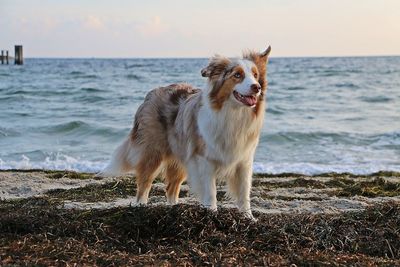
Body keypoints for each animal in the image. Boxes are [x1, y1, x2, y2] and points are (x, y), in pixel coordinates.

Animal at [101, 46, 274, 219]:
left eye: (255, 75)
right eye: (237, 75)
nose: (256, 87)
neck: (234, 115)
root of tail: (150, 94)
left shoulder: (244, 161)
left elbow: (244, 193)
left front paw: (249, 218)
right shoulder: (205, 159)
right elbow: (210, 192)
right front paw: (212, 214)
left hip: (181, 157)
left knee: (171, 188)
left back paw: (175, 209)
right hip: (153, 152)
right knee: (144, 183)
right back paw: (140, 208)